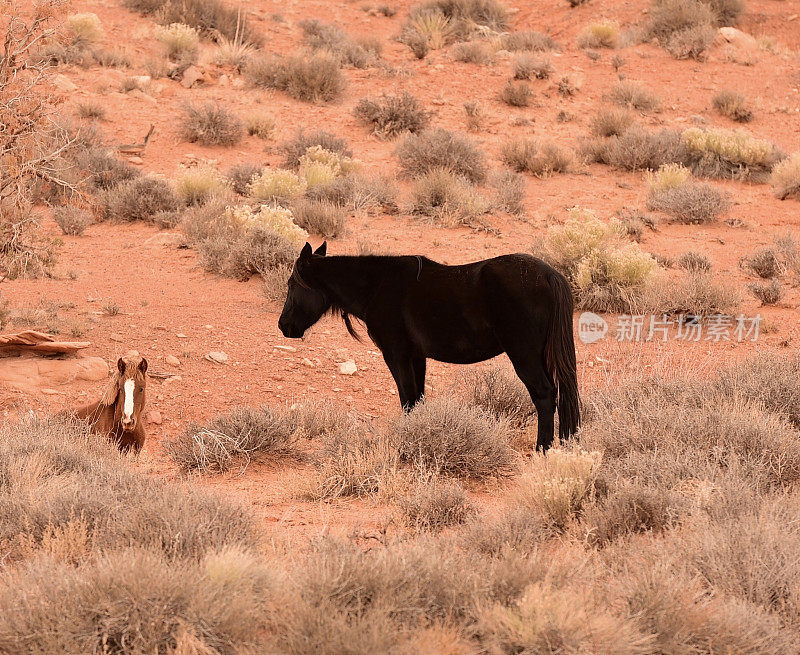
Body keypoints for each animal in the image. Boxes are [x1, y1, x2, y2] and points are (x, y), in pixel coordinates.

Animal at [278, 241, 580, 452]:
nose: (284, 326)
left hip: (524, 356)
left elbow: (407, 400)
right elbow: (418, 399)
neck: (377, 286)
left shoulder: (396, 355)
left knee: (545, 396)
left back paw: (542, 450)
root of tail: (549, 275)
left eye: (293, 284)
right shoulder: (417, 357)